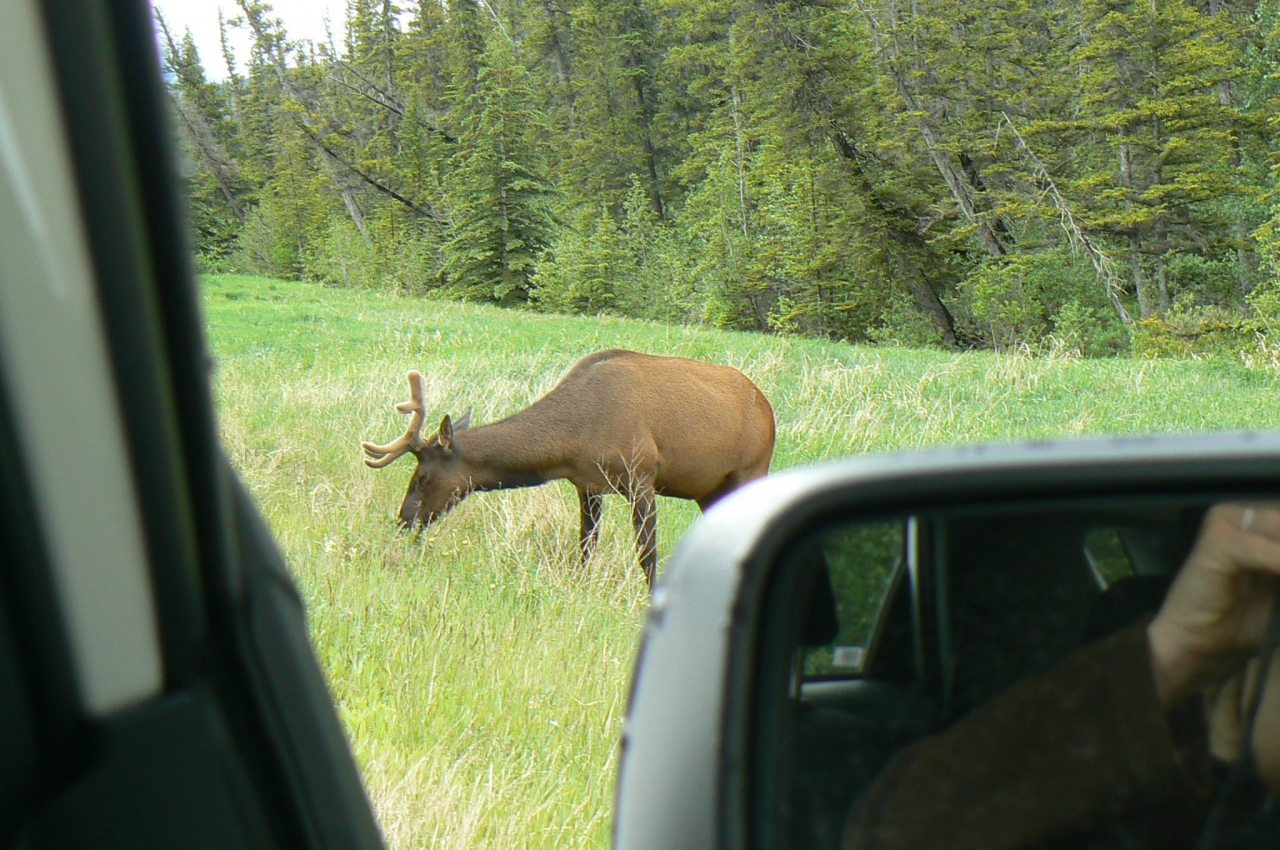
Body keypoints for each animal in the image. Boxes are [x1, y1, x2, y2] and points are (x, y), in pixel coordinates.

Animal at [361, 349, 775, 585]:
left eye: (422, 475)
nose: (403, 520)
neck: (574, 438)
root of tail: (768, 408)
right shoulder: (588, 484)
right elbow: (585, 548)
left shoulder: (642, 475)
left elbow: (647, 553)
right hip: (710, 490)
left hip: (752, 469)